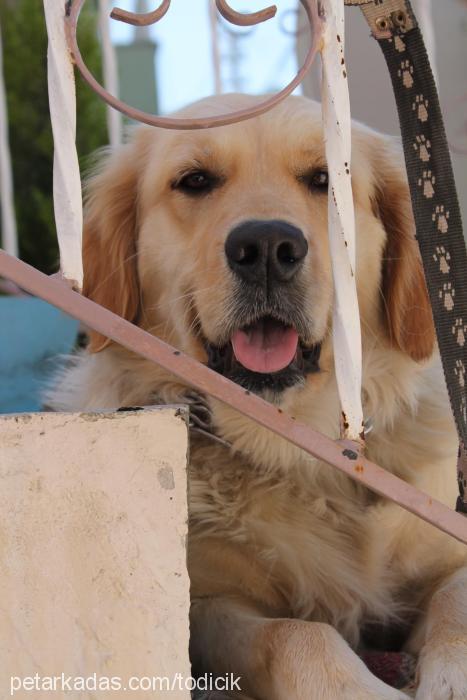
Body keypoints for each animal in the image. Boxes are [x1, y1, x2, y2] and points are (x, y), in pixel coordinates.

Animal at [50, 94, 467, 700]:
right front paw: (353, 688)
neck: (295, 443)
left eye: (324, 179)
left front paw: (450, 673)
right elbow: (294, 634)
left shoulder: (447, 552)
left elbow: (456, 601)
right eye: (195, 180)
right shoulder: (207, 605)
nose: (268, 247)